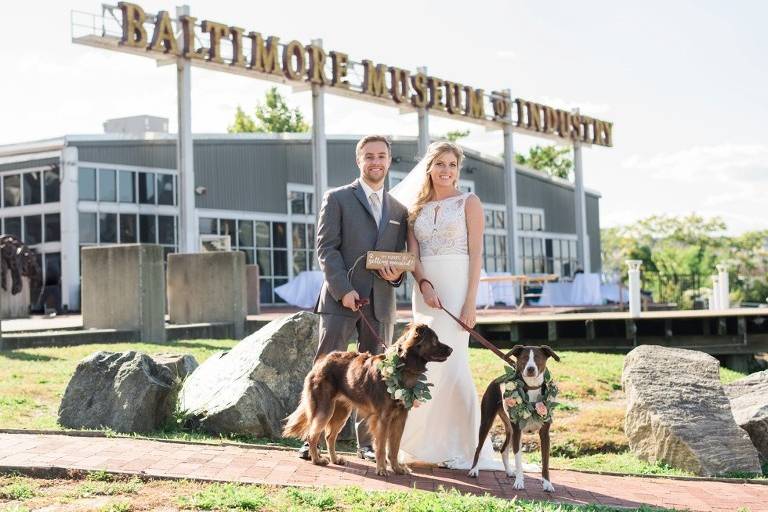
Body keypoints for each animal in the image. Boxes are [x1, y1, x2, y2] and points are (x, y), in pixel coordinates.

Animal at [282, 324, 450, 476]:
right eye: (434, 340)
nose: (451, 349)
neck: (402, 365)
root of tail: (322, 361)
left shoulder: (400, 417)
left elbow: (394, 447)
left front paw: (397, 468)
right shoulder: (383, 418)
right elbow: (381, 447)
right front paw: (382, 469)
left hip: (341, 413)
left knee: (329, 437)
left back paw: (335, 459)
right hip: (325, 410)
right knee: (312, 435)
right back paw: (317, 460)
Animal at [464, 344, 560, 492]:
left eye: (538, 357)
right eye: (524, 358)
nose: (530, 369)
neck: (532, 387)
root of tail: (498, 379)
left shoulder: (544, 434)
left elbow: (545, 461)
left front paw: (547, 484)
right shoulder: (518, 432)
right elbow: (518, 460)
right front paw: (519, 482)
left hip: (510, 428)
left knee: (503, 449)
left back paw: (509, 471)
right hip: (487, 422)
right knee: (478, 447)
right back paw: (474, 470)